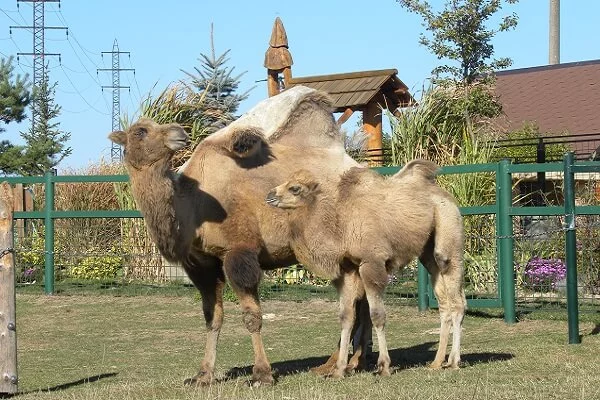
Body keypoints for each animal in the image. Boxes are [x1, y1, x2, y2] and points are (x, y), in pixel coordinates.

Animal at [264, 160, 466, 378]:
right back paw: (436, 363)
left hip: (448, 234)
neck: (340, 225)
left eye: (295, 188)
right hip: (428, 253)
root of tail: (448, 199)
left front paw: (383, 366)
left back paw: (454, 361)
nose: (270, 195)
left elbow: (376, 315)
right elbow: (346, 317)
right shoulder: (348, 269)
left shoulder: (372, 262)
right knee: (444, 302)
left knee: (457, 299)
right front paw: (339, 370)